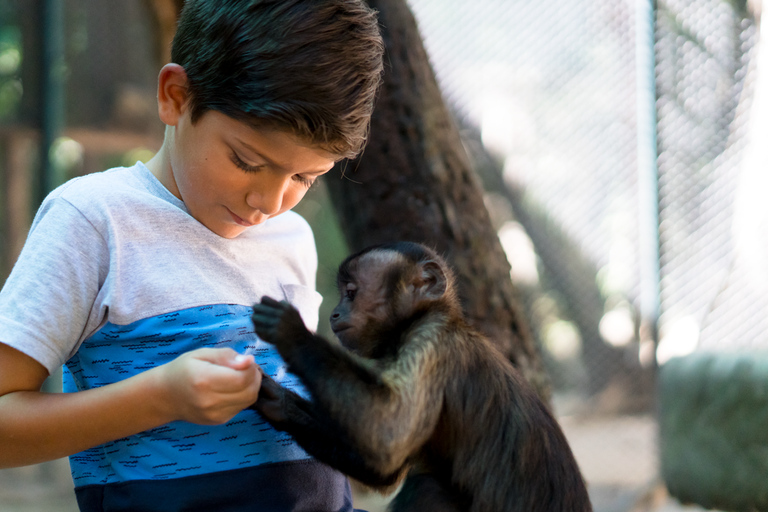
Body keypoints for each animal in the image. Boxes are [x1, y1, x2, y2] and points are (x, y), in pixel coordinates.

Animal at [252, 241, 592, 512]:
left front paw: (291, 332)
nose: (335, 313)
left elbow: (388, 433)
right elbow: (384, 466)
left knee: (425, 488)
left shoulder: (429, 341)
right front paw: (280, 404)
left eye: (351, 293)